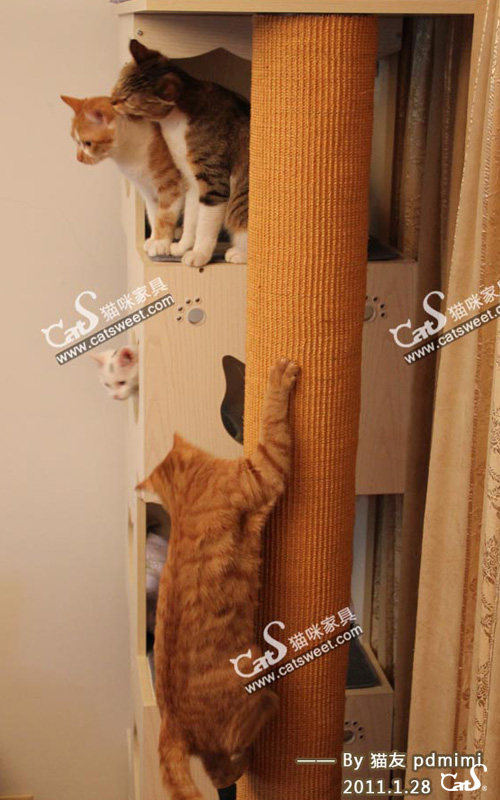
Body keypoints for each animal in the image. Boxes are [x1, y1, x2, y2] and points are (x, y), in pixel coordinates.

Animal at [61, 95, 184, 258]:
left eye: (87, 143)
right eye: (75, 140)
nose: (78, 158)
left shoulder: (171, 184)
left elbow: (165, 215)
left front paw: (160, 242)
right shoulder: (148, 190)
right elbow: (154, 214)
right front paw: (153, 239)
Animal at [111, 39, 249, 268]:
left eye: (128, 99)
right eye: (119, 84)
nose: (112, 101)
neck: (174, 124)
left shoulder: (213, 181)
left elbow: (204, 226)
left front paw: (199, 254)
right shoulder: (191, 180)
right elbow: (192, 220)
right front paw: (182, 247)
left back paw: (239, 253)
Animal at [136, 358, 300, 798]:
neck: (185, 492)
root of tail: (170, 726)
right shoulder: (265, 470)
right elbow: (273, 421)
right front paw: (279, 377)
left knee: (217, 772)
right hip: (253, 682)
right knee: (229, 762)